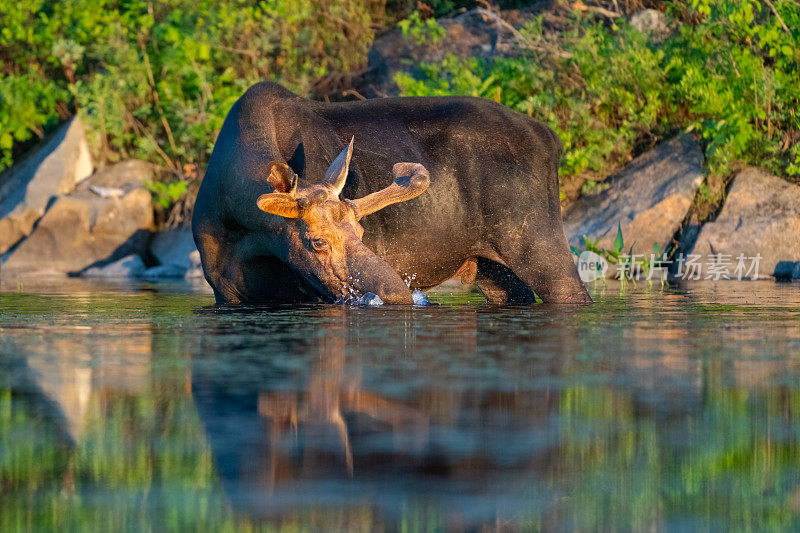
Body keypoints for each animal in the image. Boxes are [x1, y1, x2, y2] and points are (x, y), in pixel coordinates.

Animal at [193, 79, 592, 304]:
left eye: (361, 231)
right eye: (317, 241)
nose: (397, 292)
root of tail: (552, 139)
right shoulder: (229, 296)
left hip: (539, 245)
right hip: (494, 271)